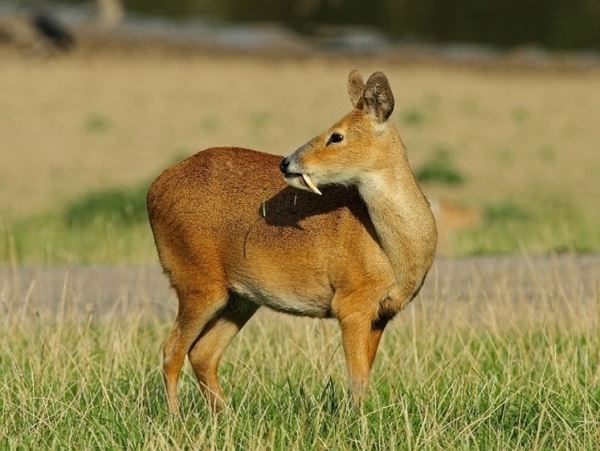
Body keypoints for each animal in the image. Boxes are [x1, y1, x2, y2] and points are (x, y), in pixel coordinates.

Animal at [145, 69, 436, 414]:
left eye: (336, 136)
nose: (287, 162)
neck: (394, 252)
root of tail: (153, 190)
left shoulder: (382, 313)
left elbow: (364, 375)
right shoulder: (351, 302)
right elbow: (357, 379)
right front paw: (357, 421)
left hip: (240, 297)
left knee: (202, 353)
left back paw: (226, 416)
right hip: (196, 281)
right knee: (171, 350)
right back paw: (177, 418)